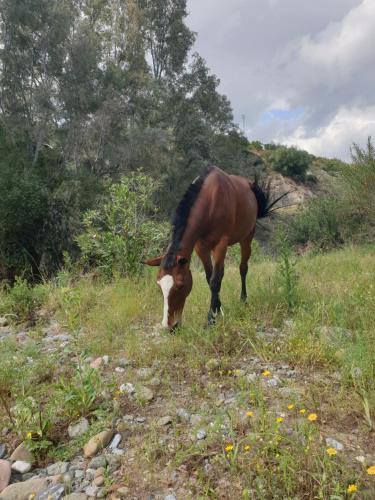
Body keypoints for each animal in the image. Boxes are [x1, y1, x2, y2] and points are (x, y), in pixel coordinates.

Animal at [144, 166, 276, 330]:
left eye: (180, 285)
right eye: (159, 286)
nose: (169, 326)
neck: (211, 202)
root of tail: (250, 187)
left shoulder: (220, 245)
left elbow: (214, 281)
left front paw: (211, 319)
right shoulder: (201, 247)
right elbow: (210, 278)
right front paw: (218, 310)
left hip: (247, 238)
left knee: (243, 268)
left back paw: (243, 300)